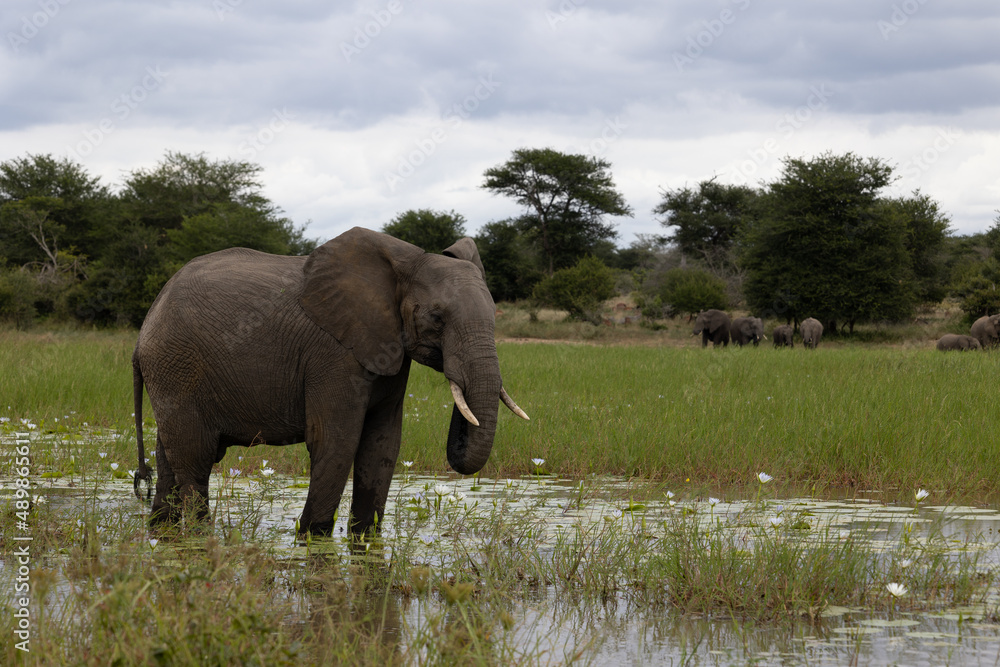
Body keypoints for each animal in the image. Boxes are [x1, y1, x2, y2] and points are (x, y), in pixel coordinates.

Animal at [132, 227, 529, 538]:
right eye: (437, 318)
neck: (405, 263)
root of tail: (148, 320)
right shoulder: (334, 353)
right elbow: (336, 439)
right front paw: (313, 537)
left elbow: (383, 442)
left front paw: (365, 539)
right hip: (176, 366)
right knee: (195, 457)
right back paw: (201, 537)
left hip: (171, 371)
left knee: (169, 455)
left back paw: (160, 530)